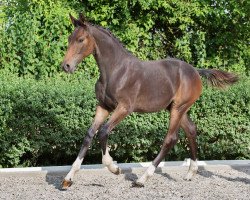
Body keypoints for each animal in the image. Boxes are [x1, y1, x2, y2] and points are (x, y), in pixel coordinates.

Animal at [60, 13, 238, 189]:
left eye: (81, 39)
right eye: (69, 38)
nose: (66, 66)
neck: (116, 70)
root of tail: (195, 71)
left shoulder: (124, 108)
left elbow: (103, 132)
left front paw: (114, 168)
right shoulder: (103, 106)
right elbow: (89, 135)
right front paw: (68, 178)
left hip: (178, 108)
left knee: (170, 139)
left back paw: (142, 179)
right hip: (176, 108)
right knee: (191, 130)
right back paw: (190, 172)